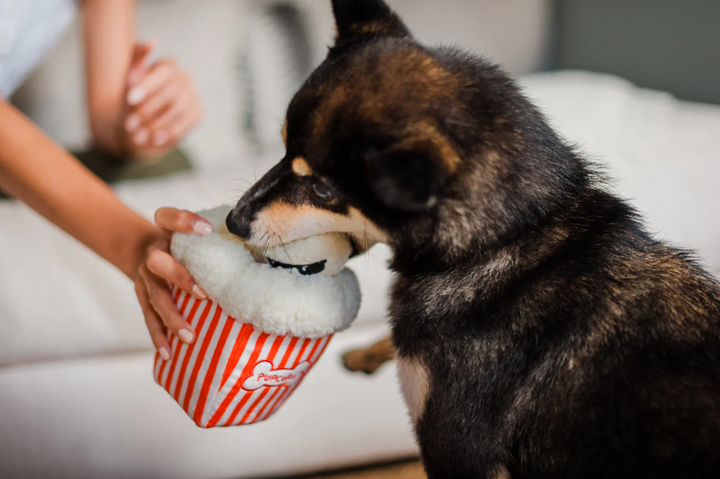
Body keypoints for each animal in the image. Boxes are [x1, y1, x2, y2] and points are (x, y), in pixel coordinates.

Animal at [228, 1, 720, 478]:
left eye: (322, 190)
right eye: (283, 149)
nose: (233, 221)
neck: (503, 241)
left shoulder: (455, 451)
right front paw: (367, 352)